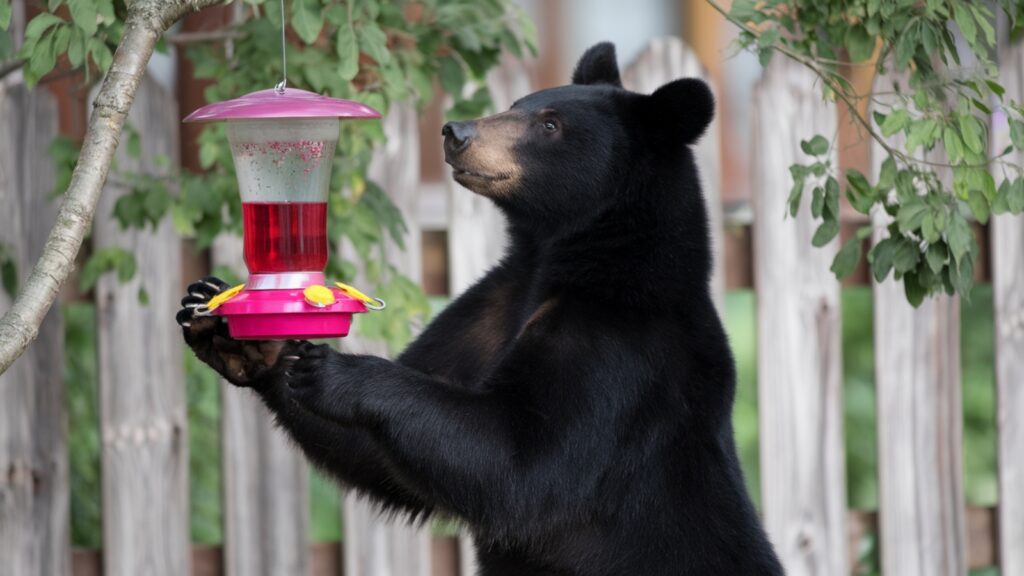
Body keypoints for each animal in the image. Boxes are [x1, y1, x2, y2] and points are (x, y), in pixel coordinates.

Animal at [178, 41, 782, 573]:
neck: (566, 257)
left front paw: (338, 371)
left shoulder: (618, 349)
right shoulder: (496, 303)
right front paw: (229, 327)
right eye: (516, 104)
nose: (456, 132)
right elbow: (380, 457)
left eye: (550, 125)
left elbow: (523, 461)